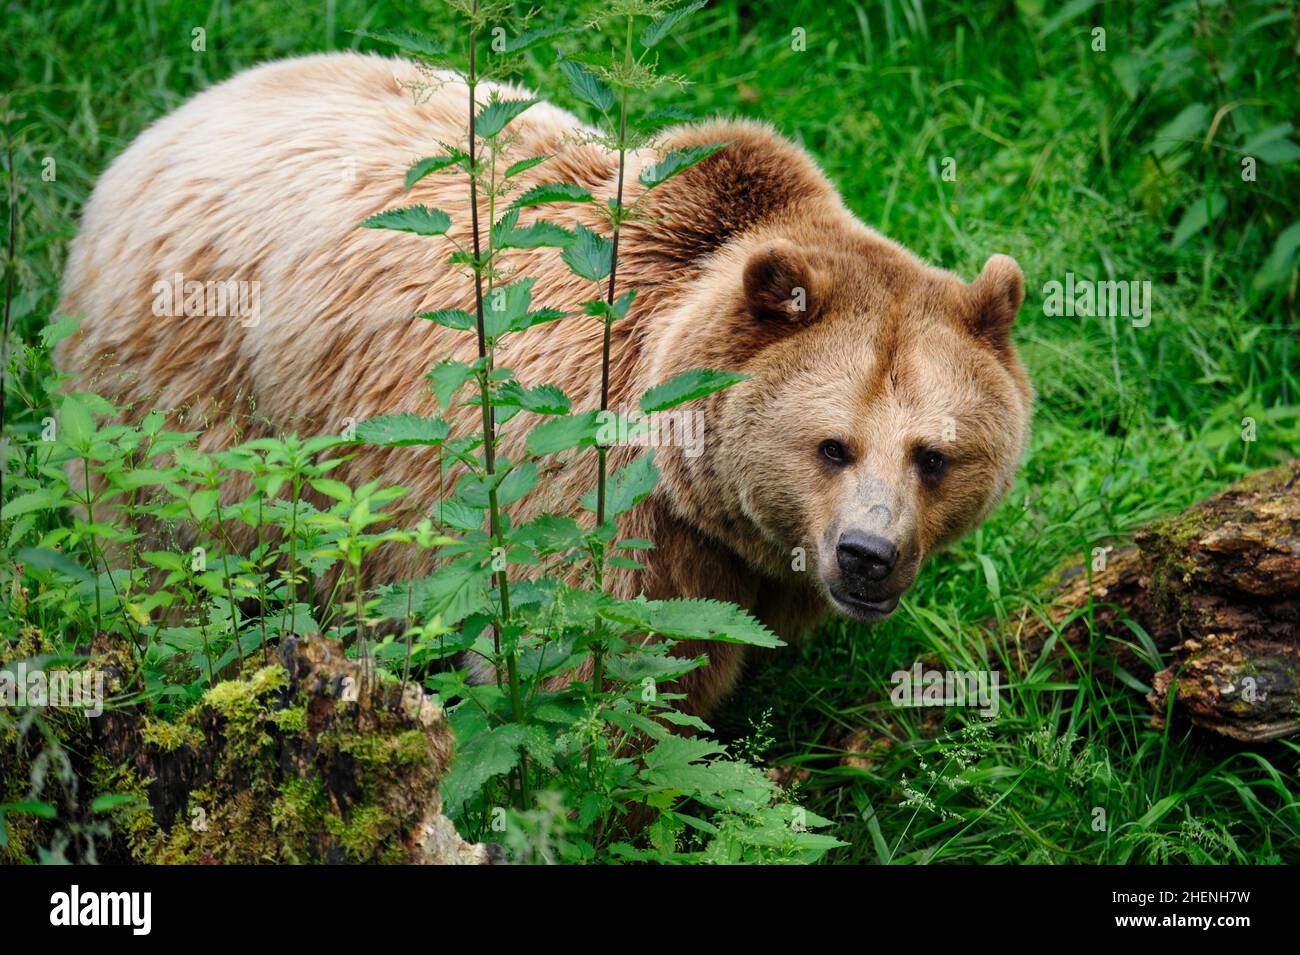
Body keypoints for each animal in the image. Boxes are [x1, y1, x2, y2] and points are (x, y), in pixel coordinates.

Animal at [56, 52, 1033, 717]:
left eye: (934, 455)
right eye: (832, 445)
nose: (868, 554)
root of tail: (166, 127)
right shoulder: (595, 502)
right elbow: (594, 672)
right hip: (197, 392)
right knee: (176, 549)